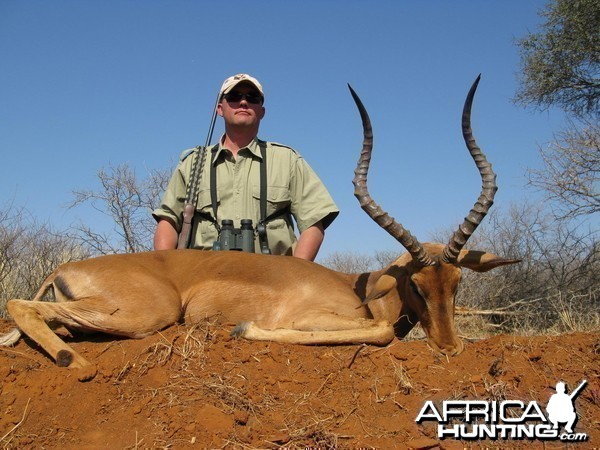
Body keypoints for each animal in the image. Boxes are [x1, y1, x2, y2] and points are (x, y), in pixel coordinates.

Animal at [0, 76, 516, 380]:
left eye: (457, 283)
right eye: (417, 284)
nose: (450, 348)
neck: (358, 288)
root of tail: (64, 269)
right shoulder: (313, 318)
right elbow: (383, 332)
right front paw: (245, 329)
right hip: (149, 311)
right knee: (18, 304)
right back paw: (76, 362)